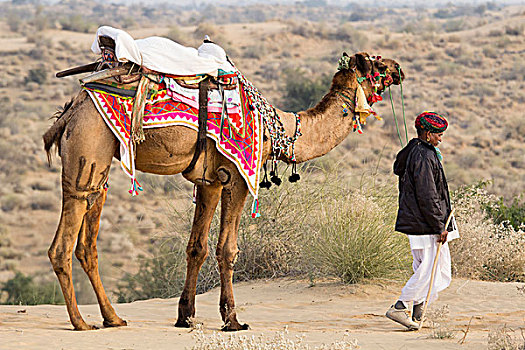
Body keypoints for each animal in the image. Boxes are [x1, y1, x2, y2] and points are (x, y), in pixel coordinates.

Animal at [43, 52, 404, 330]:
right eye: (377, 64)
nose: (399, 68)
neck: (278, 127)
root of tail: (71, 108)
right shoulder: (238, 176)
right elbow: (227, 249)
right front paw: (232, 320)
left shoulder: (210, 181)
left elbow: (196, 247)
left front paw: (186, 317)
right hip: (88, 149)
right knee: (62, 244)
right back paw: (80, 323)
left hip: (98, 165)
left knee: (87, 241)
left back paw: (113, 319)